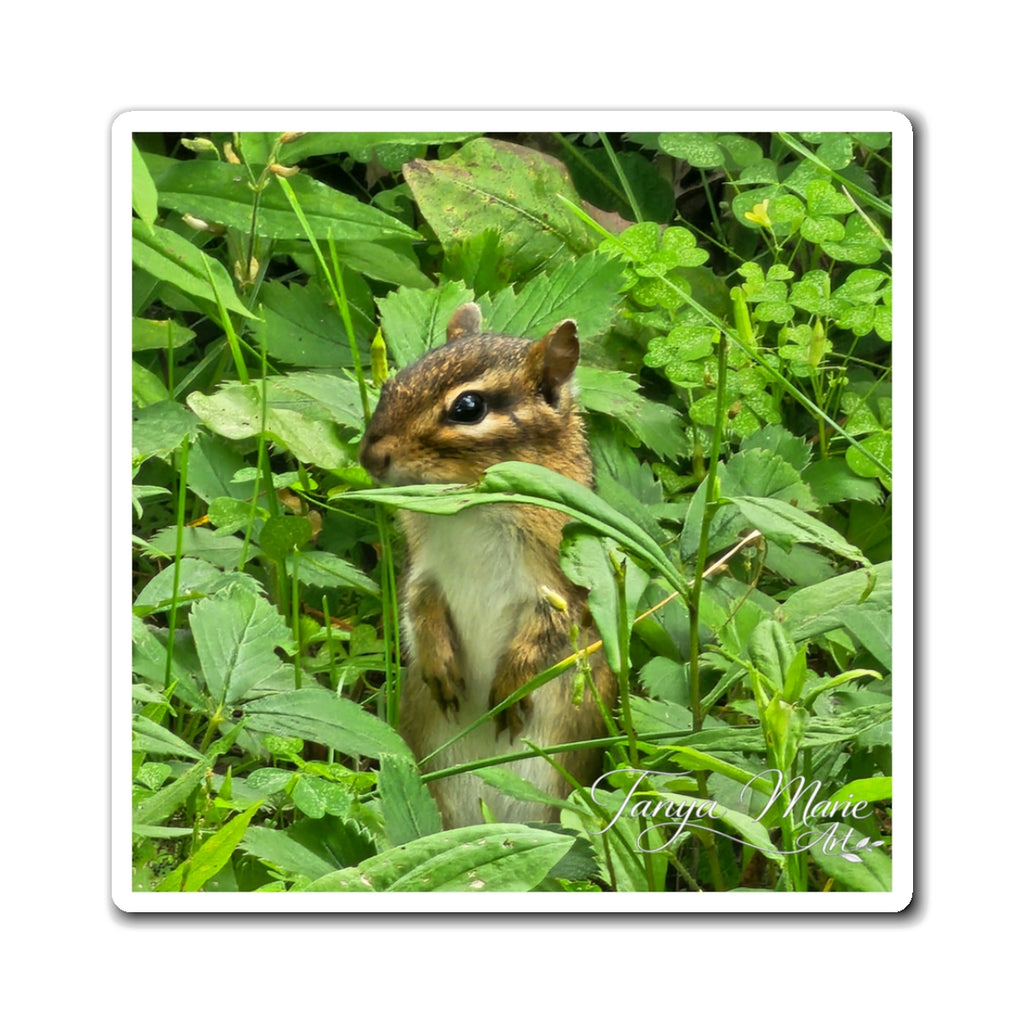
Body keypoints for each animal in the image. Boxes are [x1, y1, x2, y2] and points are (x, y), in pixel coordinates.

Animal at [359, 303, 615, 828]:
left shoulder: (561, 584)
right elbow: (418, 608)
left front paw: (511, 688)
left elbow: (547, 633)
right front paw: (439, 665)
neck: (469, 509)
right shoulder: (424, 569)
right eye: (394, 382)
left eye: (468, 408)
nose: (369, 455)